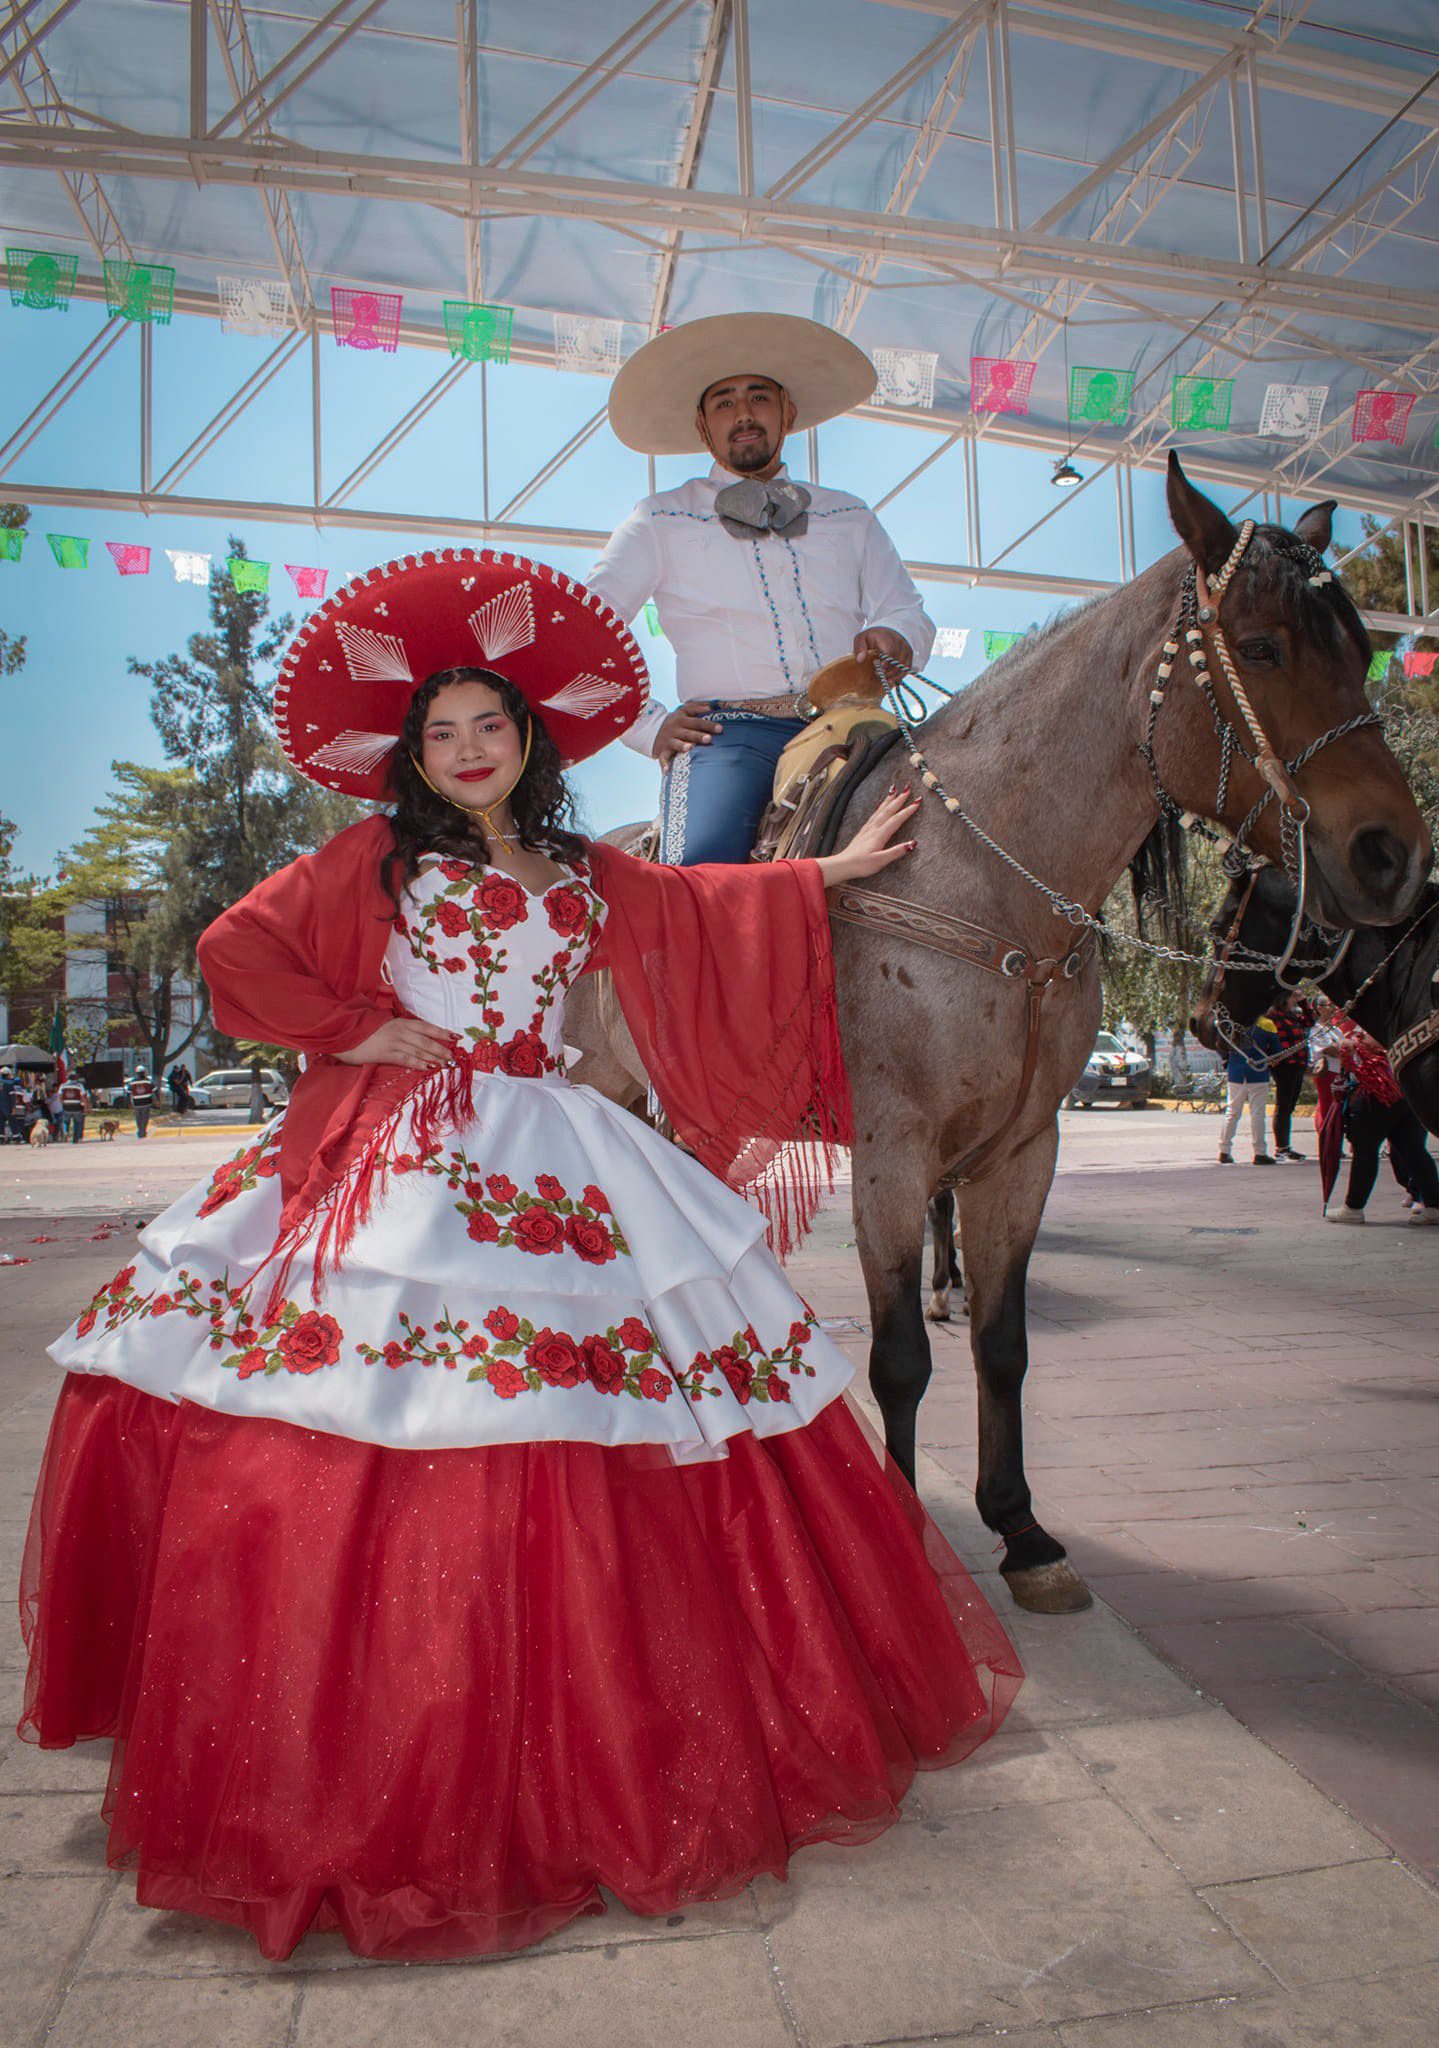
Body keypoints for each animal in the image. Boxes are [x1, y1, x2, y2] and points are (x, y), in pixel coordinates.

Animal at [569, 460, 1432, 1613]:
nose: (1393, 854)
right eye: (1260, 647)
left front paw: (1021, 1529)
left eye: (1360, 645)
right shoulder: (891, 1153)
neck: (979, 881)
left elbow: (1000, 1341)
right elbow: (899, 1355)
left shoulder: (1021, 1150)